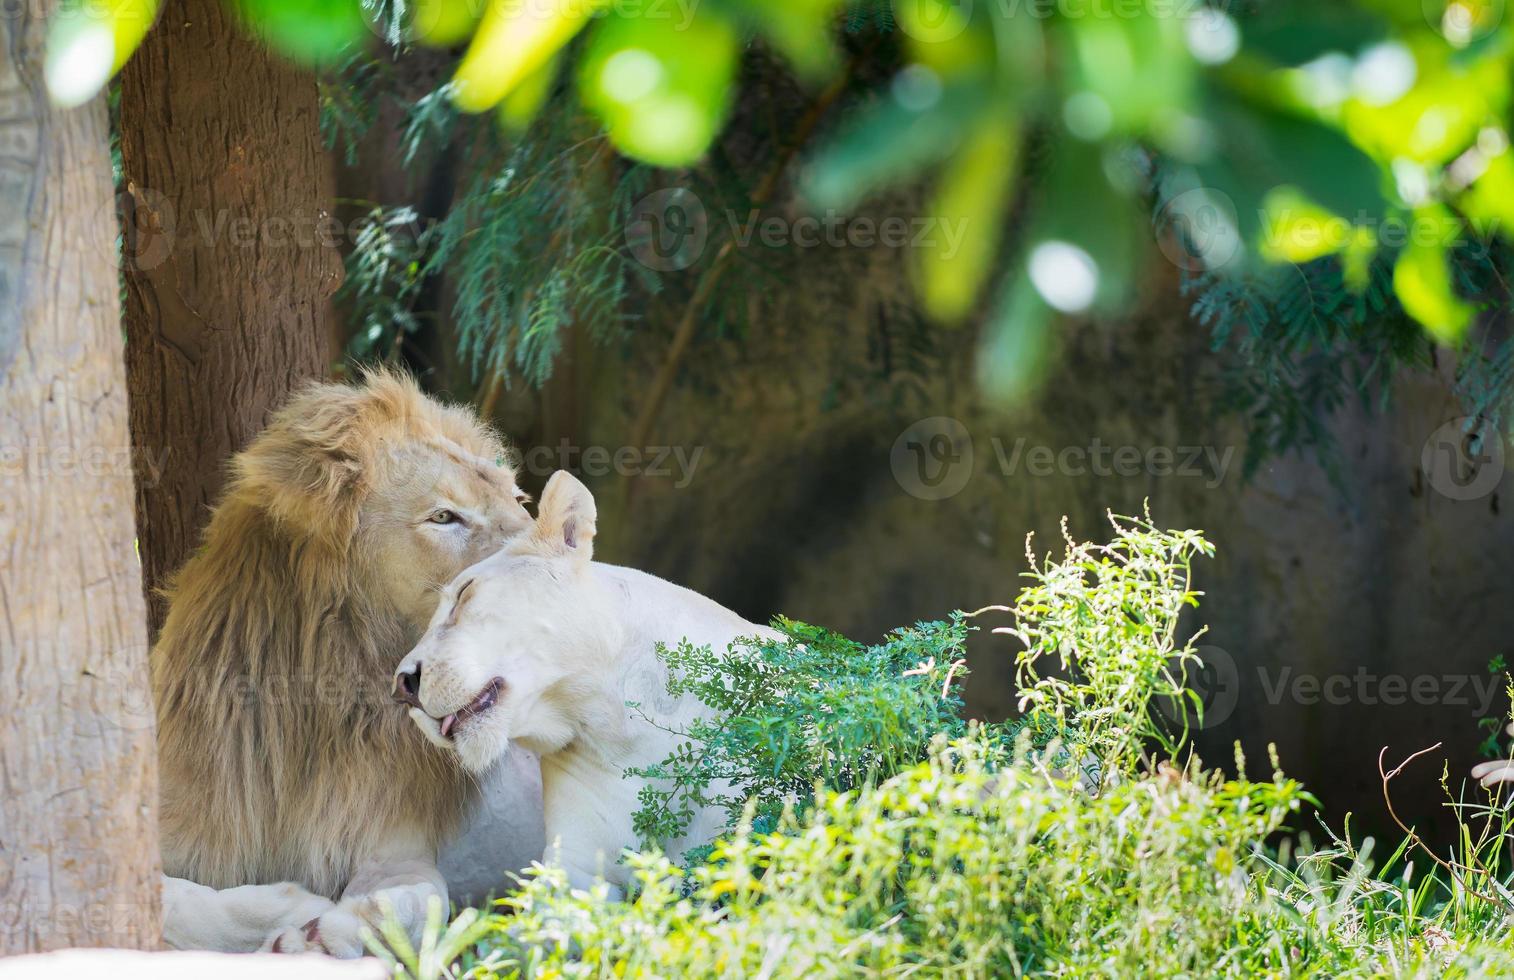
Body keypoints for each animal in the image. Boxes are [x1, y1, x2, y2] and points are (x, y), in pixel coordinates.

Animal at [157, 372, 535, 957]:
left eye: (518, 499)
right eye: (444, 516)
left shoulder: (392, 840)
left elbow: (425, 897)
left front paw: (334, 929)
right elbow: (168, 897)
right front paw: (291, 912)